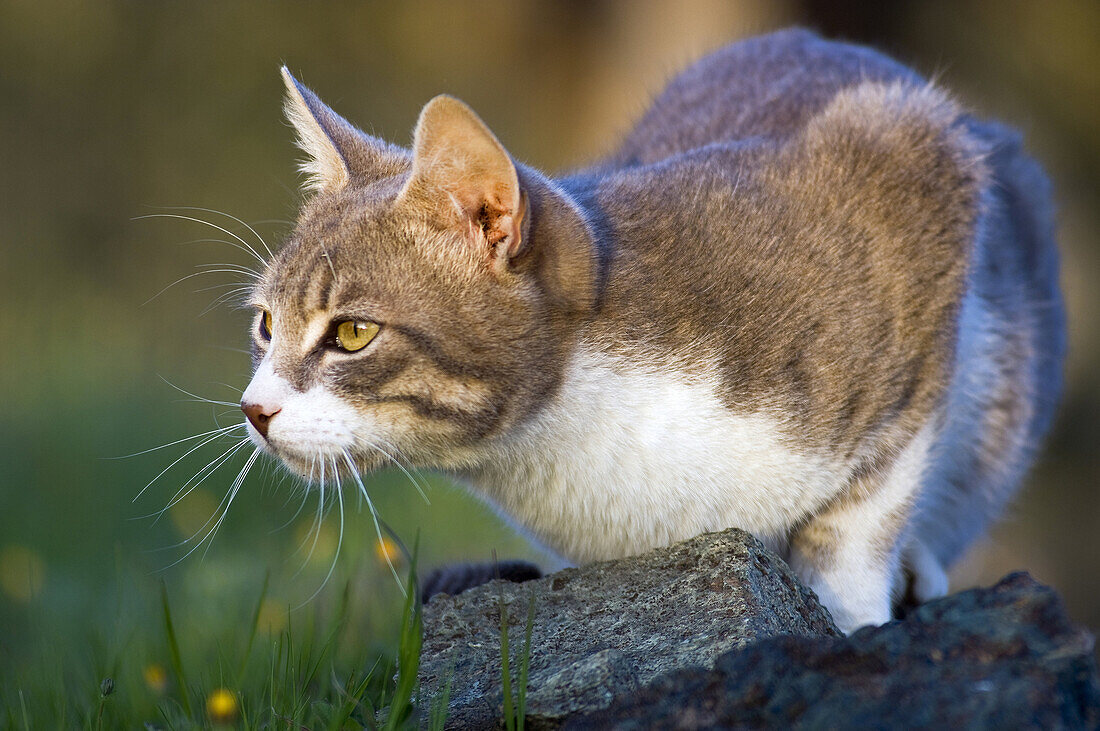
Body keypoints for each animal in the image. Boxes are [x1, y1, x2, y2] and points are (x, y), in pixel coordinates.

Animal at [240, 29, 1064, 633]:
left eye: (352, 332)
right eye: (266, 324)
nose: (253, 408)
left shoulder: (917, 187)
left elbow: (863, 518)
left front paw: (853, 618)